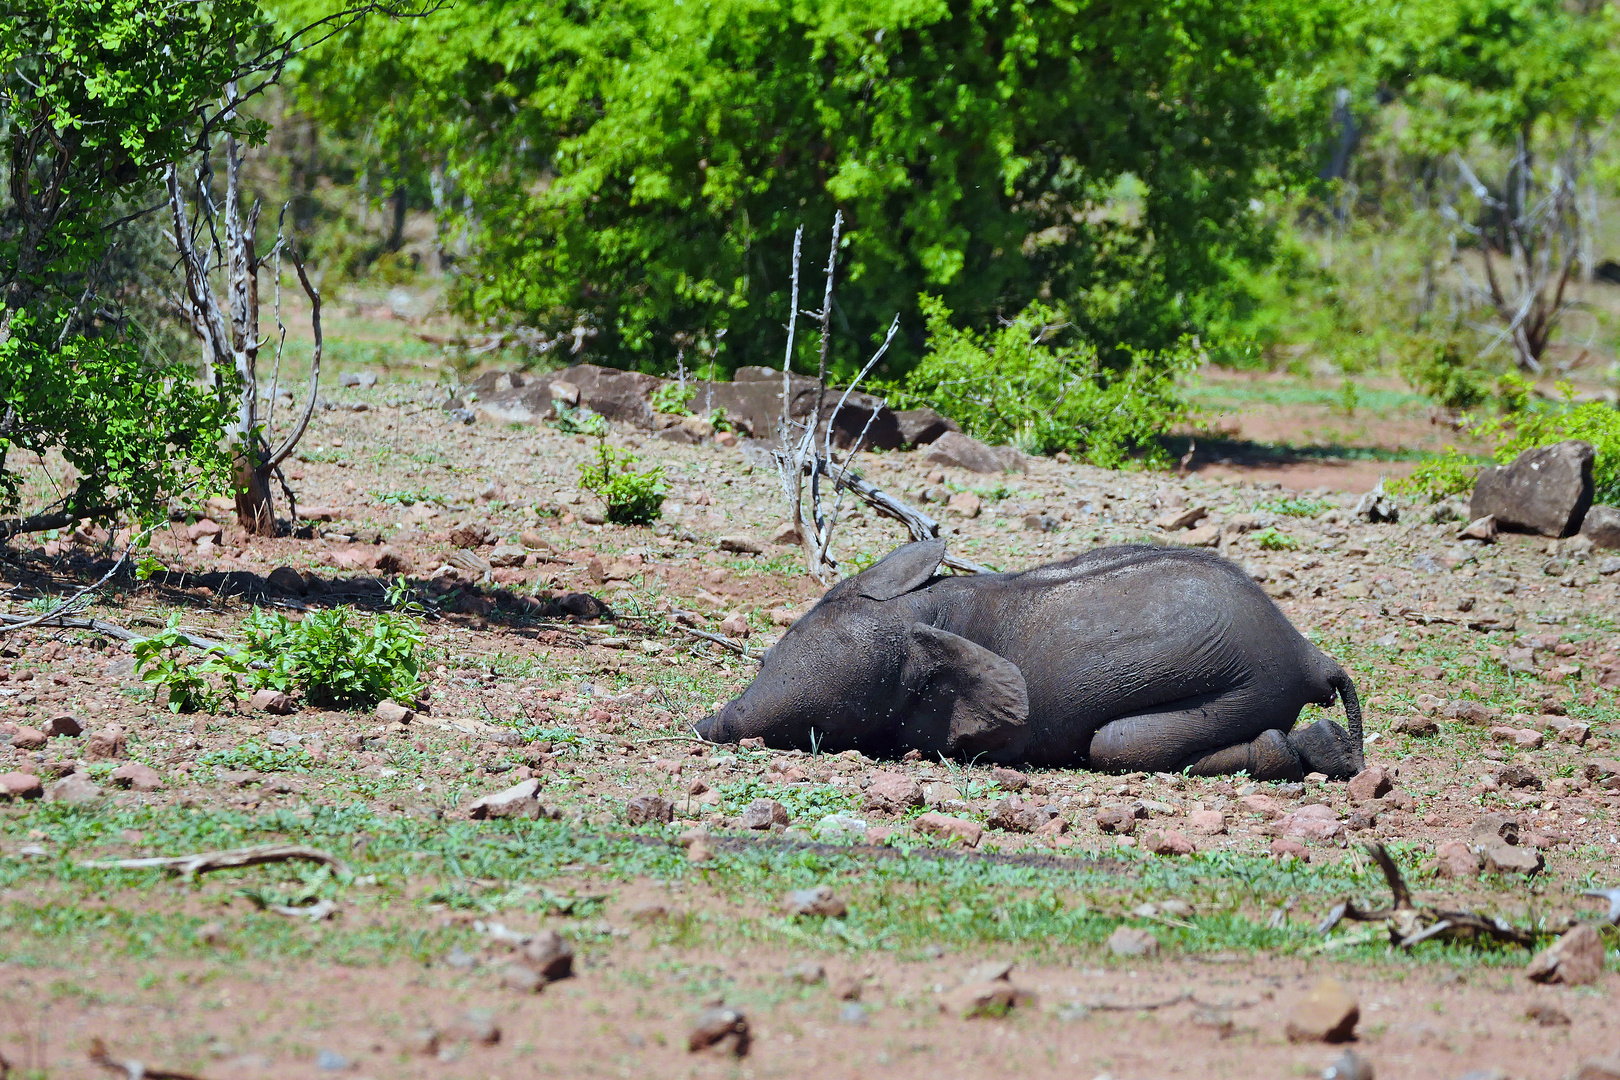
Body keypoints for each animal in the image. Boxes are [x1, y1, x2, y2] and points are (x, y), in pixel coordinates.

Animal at [690, 537, 1360, 777]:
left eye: (823, 729)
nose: (703, 725)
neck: (925, 615)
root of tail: (1308, 652)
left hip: (1251, 685)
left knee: (1116, 743)